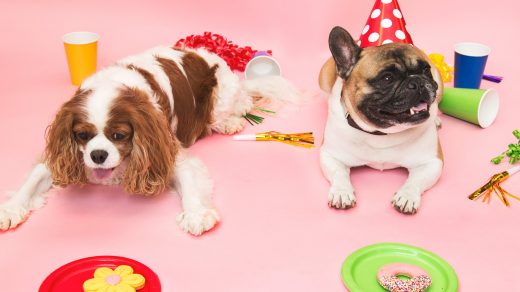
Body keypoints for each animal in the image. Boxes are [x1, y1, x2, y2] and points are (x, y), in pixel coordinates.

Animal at [0, 46, 298, 236]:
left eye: (119, 135)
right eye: (82, 135)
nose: (97, 155)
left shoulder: (165, 149)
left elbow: (190, 182)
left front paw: (196, 214)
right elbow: (35, 176)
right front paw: (11, 208)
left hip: (220, 99)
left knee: (238, 106)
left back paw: (229, 122)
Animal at [320, 27, 442, 213]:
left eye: (425, 70)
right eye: (387, 78)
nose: (417, 81)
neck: (381, 133)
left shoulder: (432, 162)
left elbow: (416, 180)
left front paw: (407, 196)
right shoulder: (330, 155)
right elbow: (339, 173)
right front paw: (341, 192)